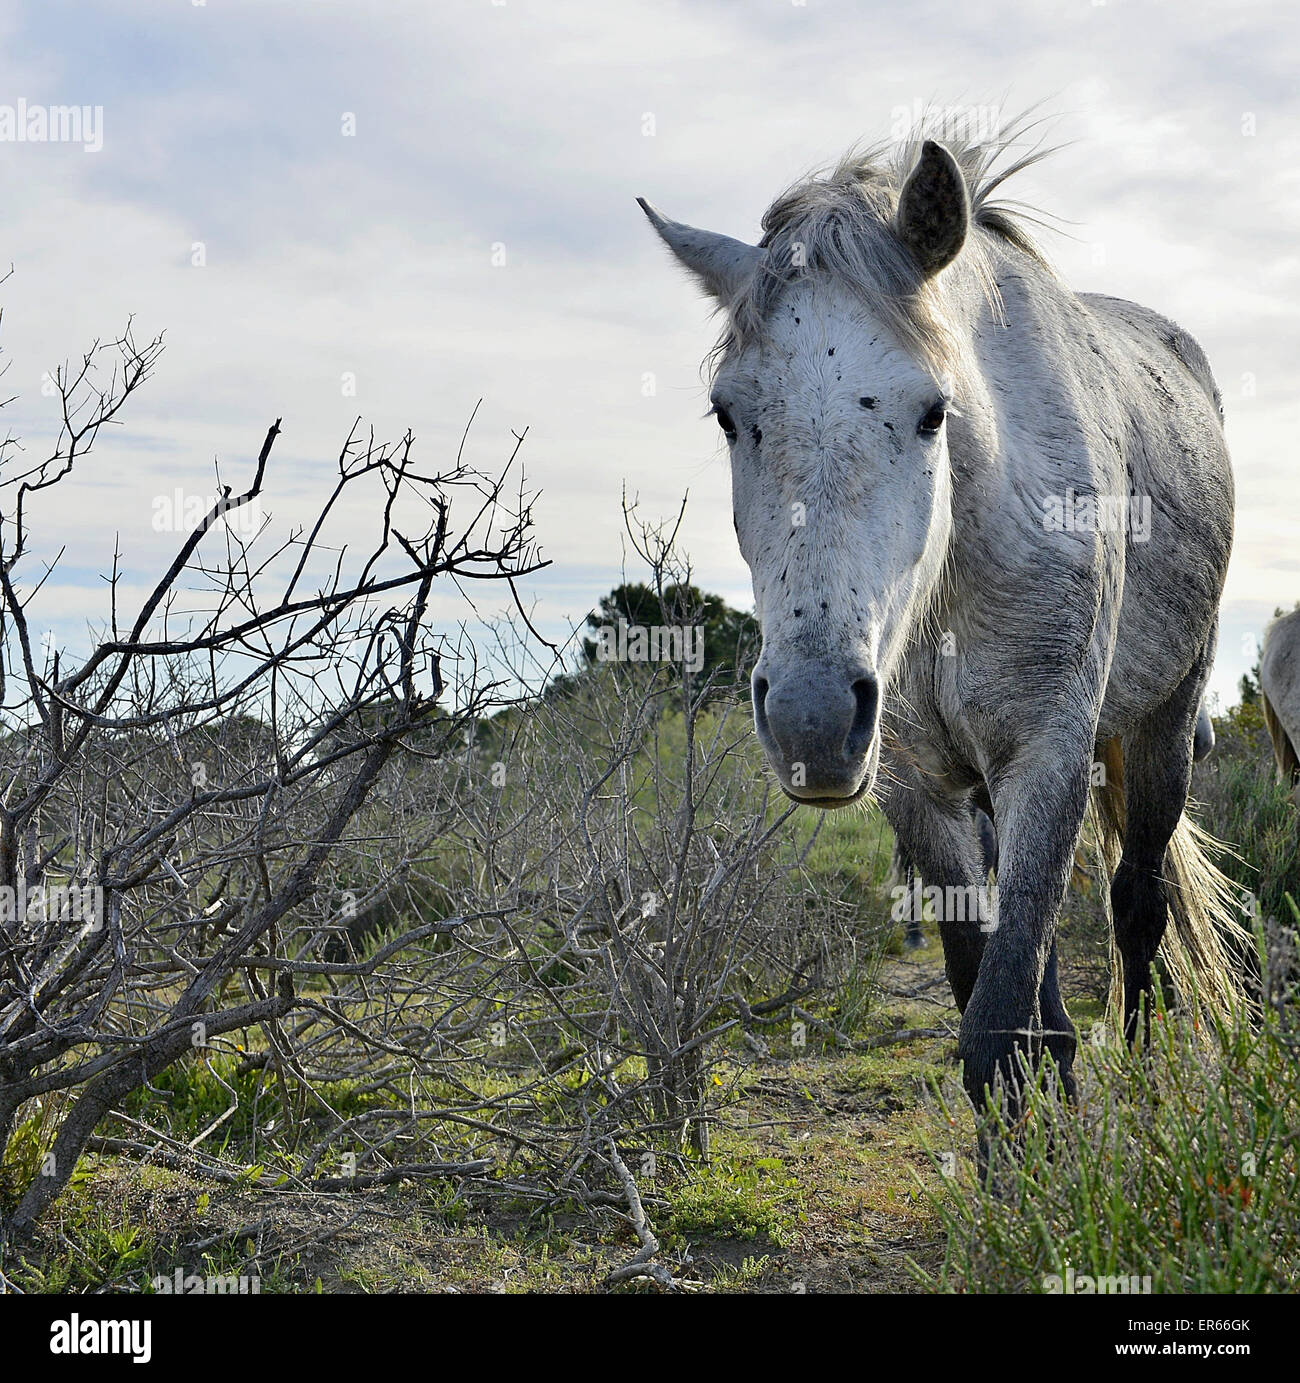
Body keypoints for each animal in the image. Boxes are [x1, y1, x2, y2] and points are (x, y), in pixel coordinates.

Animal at [639, 122, 1247, 1123]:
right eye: (730, 414)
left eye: (931, 412)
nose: (811, 718)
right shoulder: (916, 787)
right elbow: (992, 1005)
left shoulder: (1047, 757)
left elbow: (999, 1032)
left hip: (1161, 728)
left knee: (1138, 905)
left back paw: (1150, 1085)